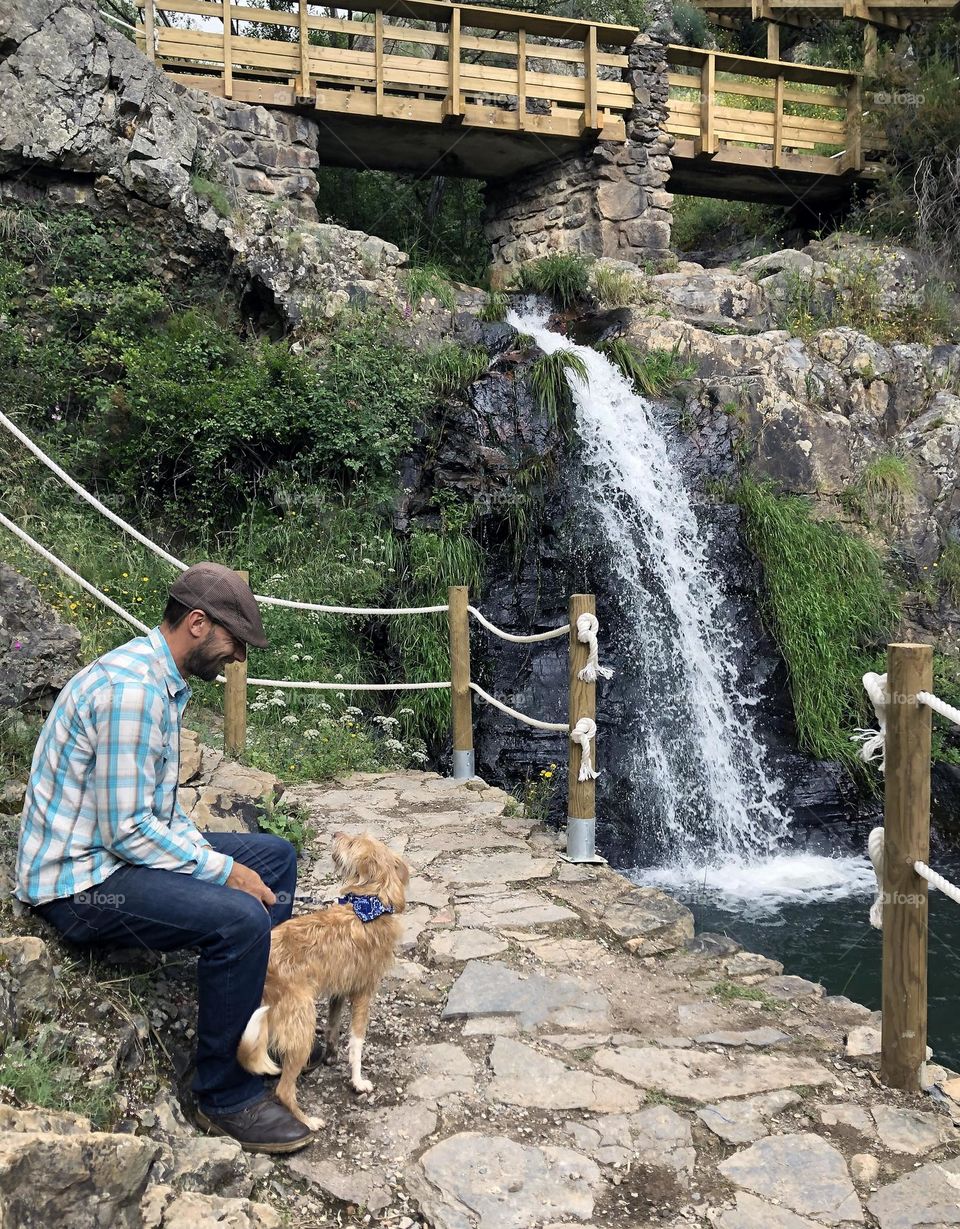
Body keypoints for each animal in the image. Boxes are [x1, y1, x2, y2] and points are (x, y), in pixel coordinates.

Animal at [238, 830, 408, 1125]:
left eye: (351, 843)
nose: (336, 833)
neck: (367, 904)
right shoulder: (363, 992)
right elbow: (357, 1042)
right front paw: (357, 1081)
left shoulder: (338, 992)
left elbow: (333, 1026)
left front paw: (330, 1055)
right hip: (302, 1022)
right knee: (284, 1090)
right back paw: (308, 1122)